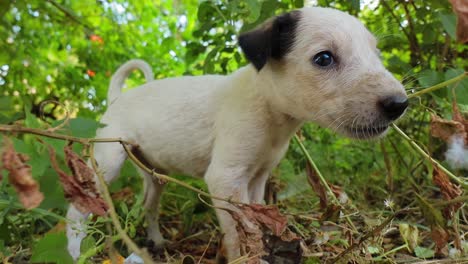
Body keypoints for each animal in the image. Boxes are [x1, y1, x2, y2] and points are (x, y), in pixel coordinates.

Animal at [66, 6, 406, 262]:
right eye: (323, 58)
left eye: (376, 54)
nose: (400, 104)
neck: (269, 110)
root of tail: (117, 98)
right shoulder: (225, 179)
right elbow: (237, 233)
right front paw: (245, 256)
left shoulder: (256, 179)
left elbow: (256, 221)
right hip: (105, 163)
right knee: (76, 211)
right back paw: (74, 250)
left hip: (153, 173)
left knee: (149, 206)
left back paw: (156, 241)